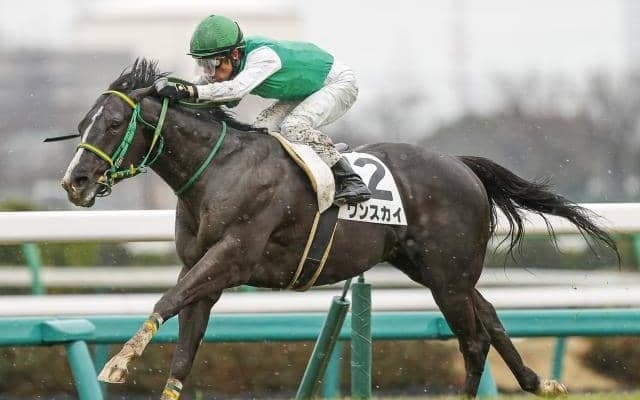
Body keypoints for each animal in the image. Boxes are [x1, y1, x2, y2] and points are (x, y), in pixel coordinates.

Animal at [60, 59, 618, 399]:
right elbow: (183, 346)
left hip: (447, 276)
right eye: (83, 123)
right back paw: (538, 382)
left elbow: (166, 299)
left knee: (473, 340)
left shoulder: (233, 256)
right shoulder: (204, 271)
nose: (74, 182)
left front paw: (118, 364)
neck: (218, 170)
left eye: (114, 124)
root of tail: (461, 166)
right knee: (492, 319)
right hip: (440, 272)